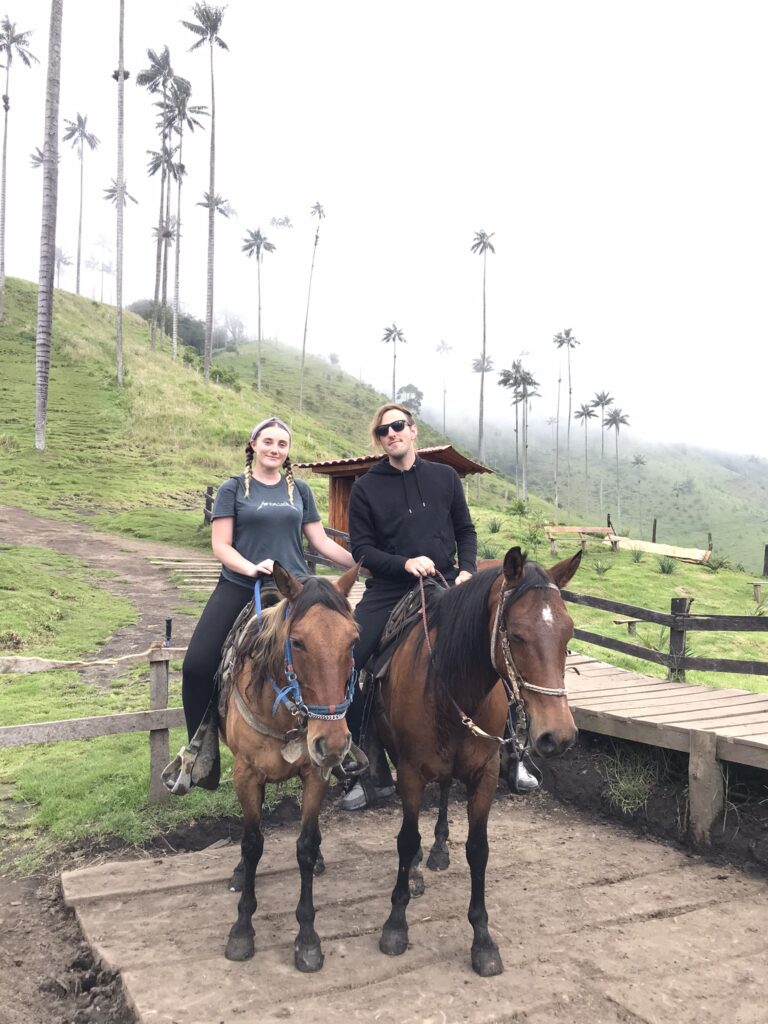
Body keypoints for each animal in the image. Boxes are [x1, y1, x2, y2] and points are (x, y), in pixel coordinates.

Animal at [218, 565, 360, 970]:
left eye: (353, 640)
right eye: (297, 642)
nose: (333, 743)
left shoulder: (316, 774)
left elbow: (306, 846)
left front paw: (308, 937)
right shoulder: (246, 776)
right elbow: (251, 844)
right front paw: (242, 929)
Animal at [376, 544, 581, 974]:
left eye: (568, 634)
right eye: (516, 634)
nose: (559, 736)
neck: (451, 685)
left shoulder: (484, 774)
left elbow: (478, 849)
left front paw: (482, 939)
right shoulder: (409, 770)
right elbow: (406, 838)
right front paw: (396, 923)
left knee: (444, 790)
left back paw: (438, 849)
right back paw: (418, 867)